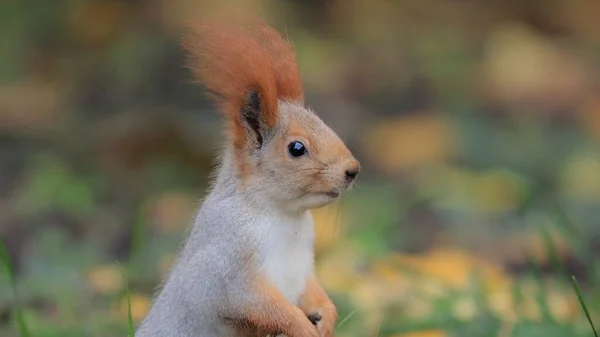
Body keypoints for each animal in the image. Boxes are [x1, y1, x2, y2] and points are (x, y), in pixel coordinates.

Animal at [135, 11, 358, 334]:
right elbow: (260, 305)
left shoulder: (304, 266)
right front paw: (302, 327)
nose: (353, 170)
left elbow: (312, 290)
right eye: (296, 148)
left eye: (324, 122)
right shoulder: (230, 266)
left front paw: (326, 317)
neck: (285, 217)